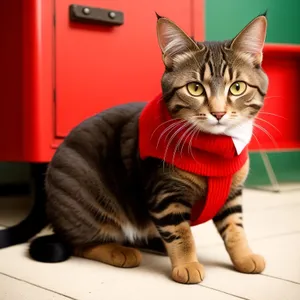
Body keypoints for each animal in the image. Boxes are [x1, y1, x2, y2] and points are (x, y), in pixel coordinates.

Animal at [0, 12, 268, 284]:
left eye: (237, 87)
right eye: (194, 88)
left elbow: (235, 228)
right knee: (80, 243)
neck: (216, 147)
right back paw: (121, 251)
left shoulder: (231, 195)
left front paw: (244, 256)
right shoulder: (165, 194)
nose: (219, 113)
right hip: (85, 198)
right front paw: (187, 264)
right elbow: (180, 233)